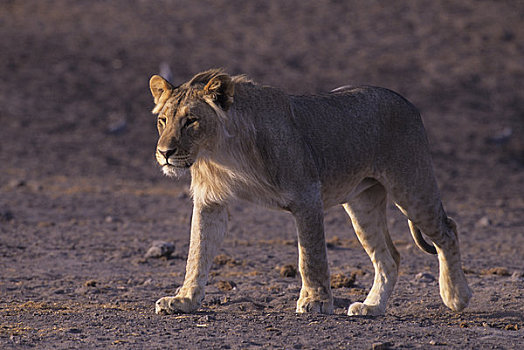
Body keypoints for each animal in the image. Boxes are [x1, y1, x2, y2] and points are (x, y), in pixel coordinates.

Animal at [146, 69, 470, 318]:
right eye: (163, 120)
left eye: (191, 120)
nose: (164, 153)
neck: (220, 152)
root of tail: (405, 101)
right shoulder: (210, 201)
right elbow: (197, 252)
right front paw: (184, 300)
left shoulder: (307, 195)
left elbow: (310, 256)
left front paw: (315, 301)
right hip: (362, 203)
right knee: (390, 256)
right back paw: (372, 307)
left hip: (411, 185)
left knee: (447, 230)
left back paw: (456, 296)